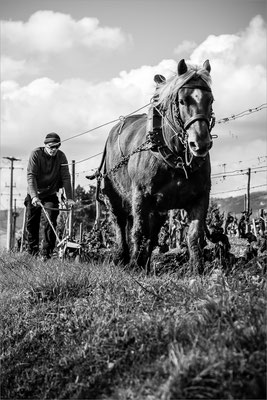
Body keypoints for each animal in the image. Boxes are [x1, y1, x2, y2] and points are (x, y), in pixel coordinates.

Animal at [91, 59, 217, 272]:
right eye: (182, 101)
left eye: (210, 100)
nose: (200, 144)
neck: (175, 159)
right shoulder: (141, 196)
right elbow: (138, 231)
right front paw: (134, 265)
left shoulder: (200, 197)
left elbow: (194, 235)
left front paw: (196, 269)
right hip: (115, 195)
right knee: (121, 224)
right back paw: (123, 258)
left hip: (158, 208)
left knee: (152, 232)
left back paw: (145, 262)